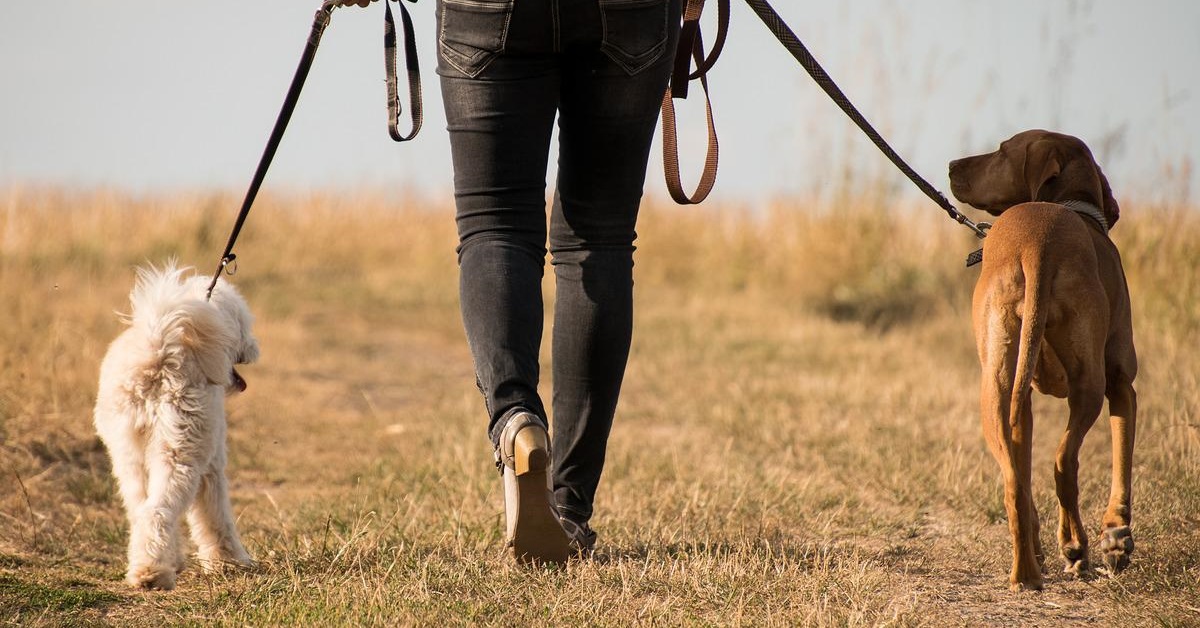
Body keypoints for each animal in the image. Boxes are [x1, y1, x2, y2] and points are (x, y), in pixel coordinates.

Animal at [94, 264, 260, 590]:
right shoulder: (212, 466)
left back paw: (148, 565)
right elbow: (215, 516)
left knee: (140, 510)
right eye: (243, 325)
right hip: (180, 453)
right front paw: (229, 560)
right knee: (157, 511)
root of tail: (159, 350)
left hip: (127, 455)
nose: (254, 347)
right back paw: (154, 575)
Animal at [945, 130, 1132, 593]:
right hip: (1090, 386)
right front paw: (1117, 538)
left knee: (1015, 483)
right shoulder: (1122, 381)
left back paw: (1026, 572)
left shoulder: (1023, 398)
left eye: (1001, 150)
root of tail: (1037, 244)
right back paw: (1076, 549)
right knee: (1064, 464)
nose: (951, 165)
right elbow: (1121, 462)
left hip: (995, 389)